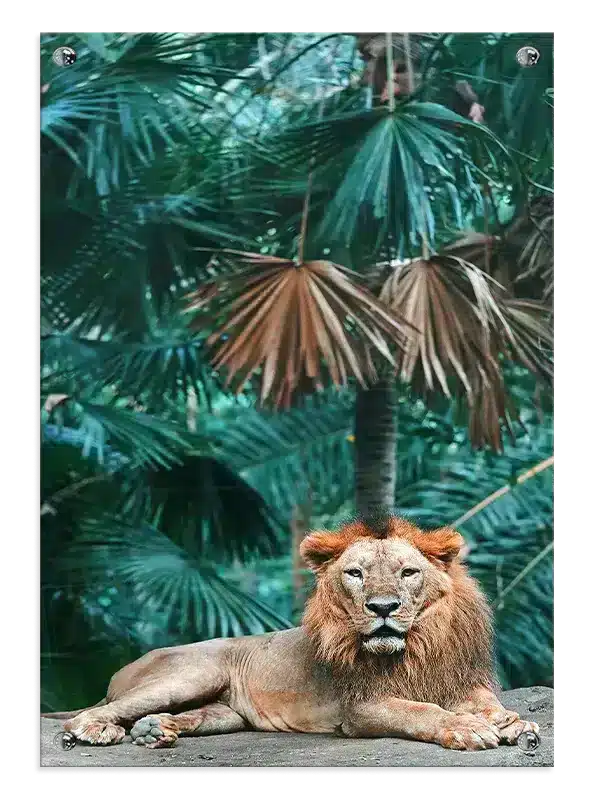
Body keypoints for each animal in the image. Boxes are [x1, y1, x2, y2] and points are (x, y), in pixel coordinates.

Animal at [42, 517, 539, 751]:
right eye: (356, 574)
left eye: (408, 572)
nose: (382, 608)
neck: (418, 645)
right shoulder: (362, 707)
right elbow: (421, 711)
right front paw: (467, 729)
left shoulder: (460, 680)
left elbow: (488, 704)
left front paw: (510, 722)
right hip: (192, 673)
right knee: (86, 715)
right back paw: (99, 730)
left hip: (226, 712)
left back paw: (153, 731)